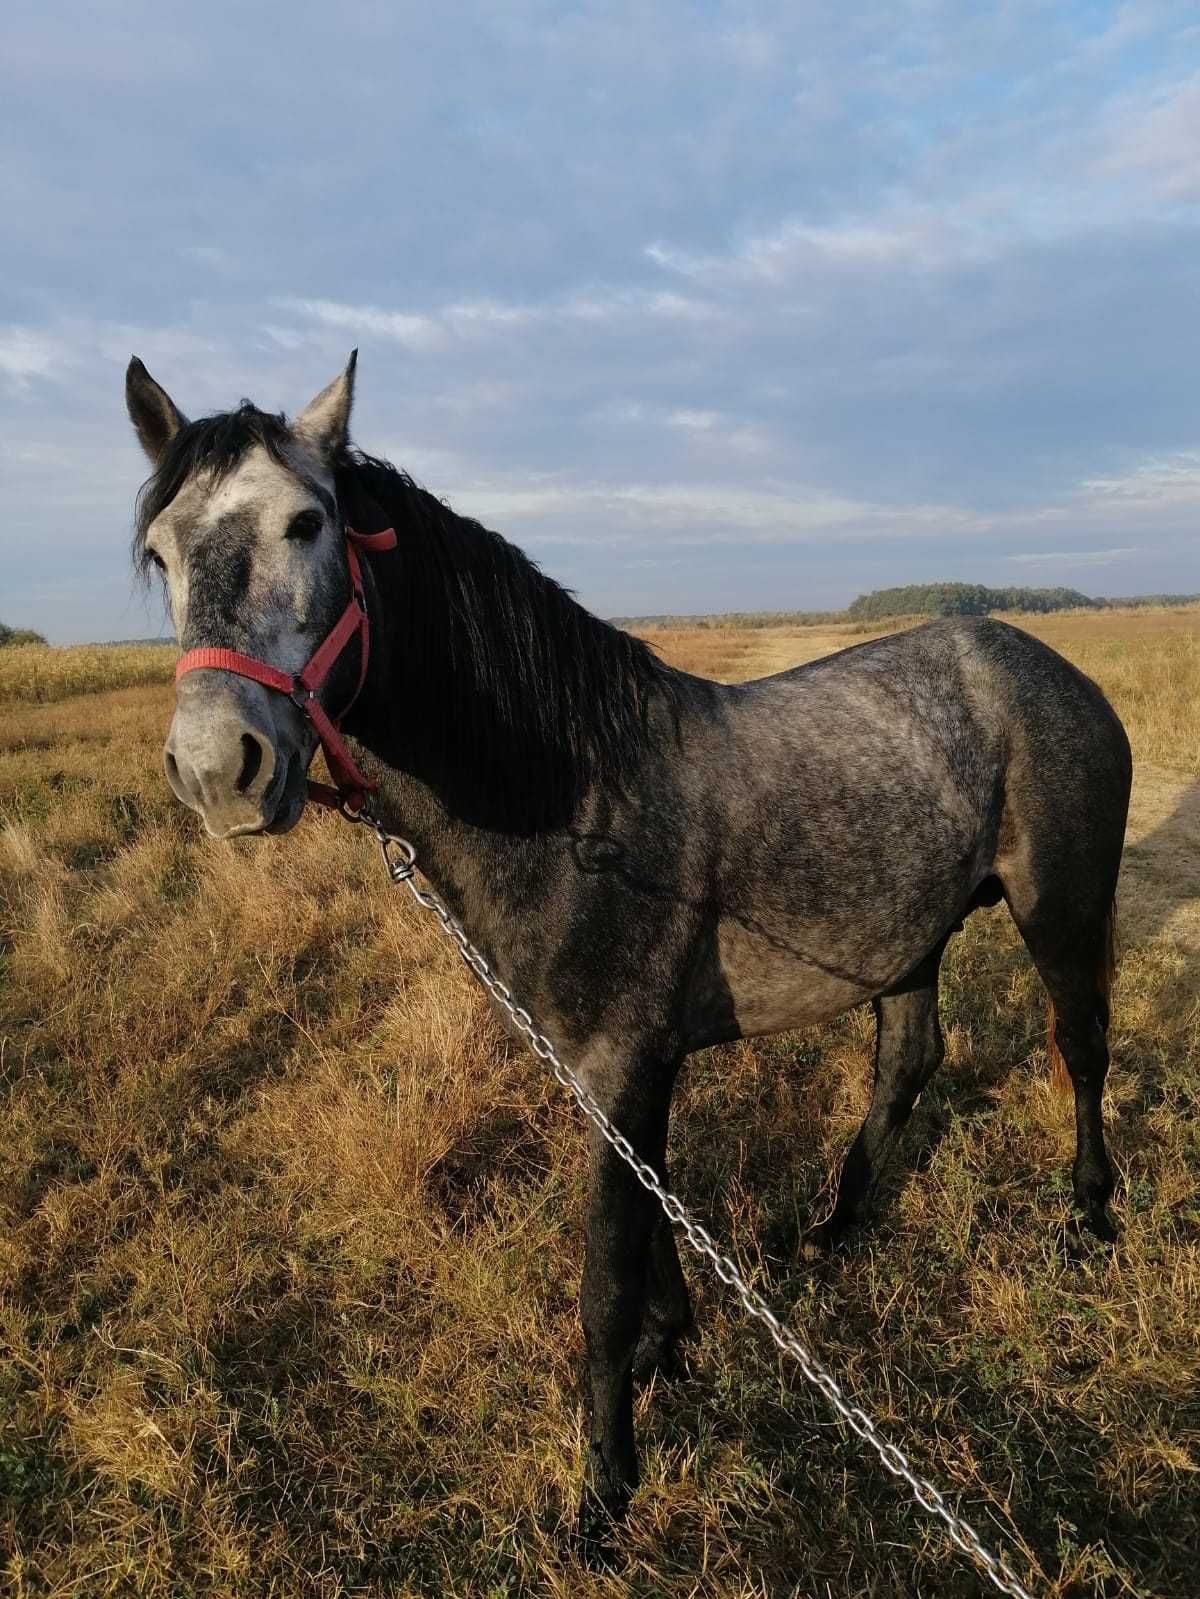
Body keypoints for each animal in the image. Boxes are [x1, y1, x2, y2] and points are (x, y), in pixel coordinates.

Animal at [127, 353, 1132, 1547]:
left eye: (307, 522)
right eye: (160, 552)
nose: (216, 768)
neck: (575, 799)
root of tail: (1050, 668)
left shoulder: (625, 1061)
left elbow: (604, 1277)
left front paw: (605, 1489)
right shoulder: (608, 1072)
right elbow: (653, 1218)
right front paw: (672, 1348)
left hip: (1061, 907)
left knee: (1082, 1045)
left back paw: (1089, 1215)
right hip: (909, 932)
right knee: (907, 1063)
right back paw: (832, 1232)